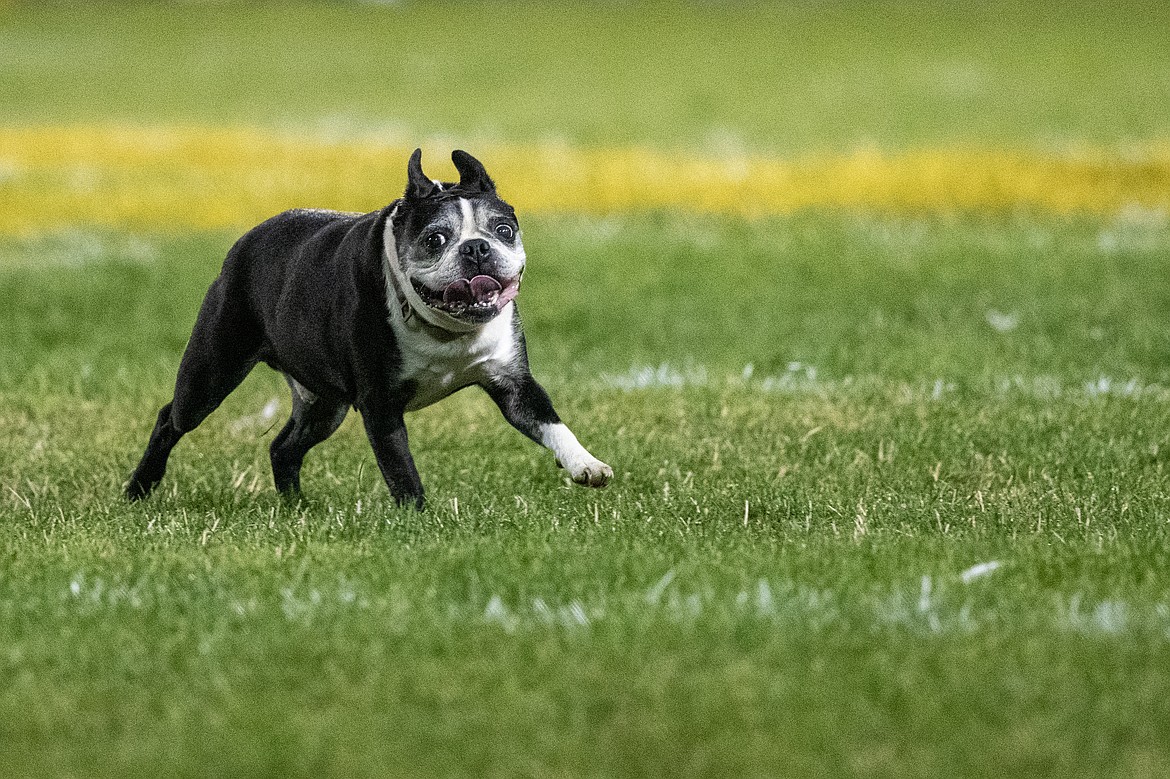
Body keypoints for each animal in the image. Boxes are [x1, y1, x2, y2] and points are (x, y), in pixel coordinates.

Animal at [126, 147, 613, 507]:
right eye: (435, 239)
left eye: (504, 229)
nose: (476, 249)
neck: (442, 328)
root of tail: (245, 241)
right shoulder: (380, 404)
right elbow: (400, 467)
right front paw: (421, 518)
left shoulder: (514, 384)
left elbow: (551, 424)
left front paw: (585, 465)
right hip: (212, 371)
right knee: (171, 418)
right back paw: (138, 489)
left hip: (325, 404)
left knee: (284, 447)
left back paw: (297, 506)